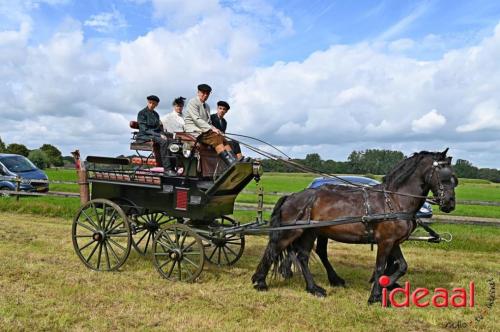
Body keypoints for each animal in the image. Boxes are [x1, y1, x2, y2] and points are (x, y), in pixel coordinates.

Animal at [254, 150, 458, 304]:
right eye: (444, 176)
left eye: (454, 179)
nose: (449, 204)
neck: (394, 200)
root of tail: (292, 196)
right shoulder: (386, 241)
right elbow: (380, 266)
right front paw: (375, 295)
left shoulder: (393, 242)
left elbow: (401, 266)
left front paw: (385, 285)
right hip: (292, 231)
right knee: (273, 250)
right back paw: (260, 282)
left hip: (309, 232)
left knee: (303, 256)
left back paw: (314, 288)